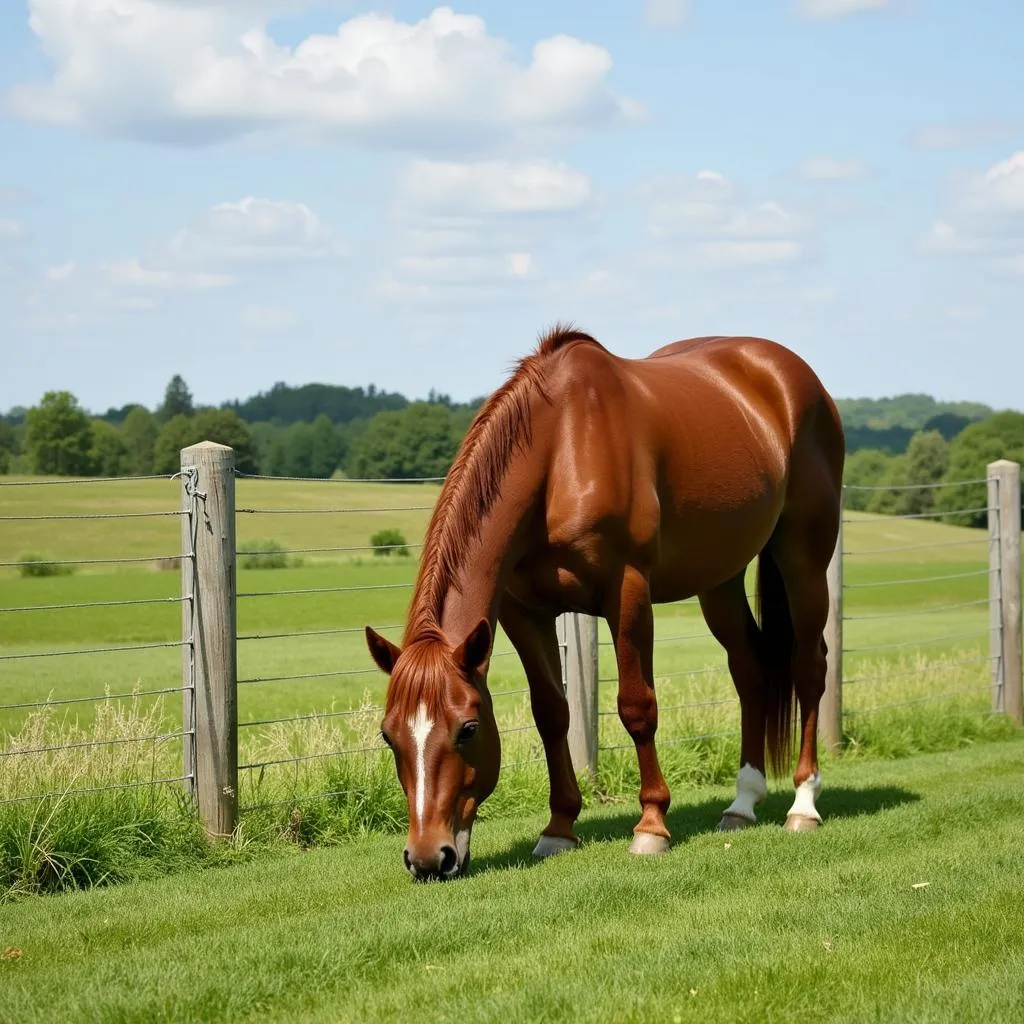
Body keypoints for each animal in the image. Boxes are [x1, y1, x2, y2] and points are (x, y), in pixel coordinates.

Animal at [364, 325, 843, 880]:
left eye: (468, 729)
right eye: (388, 736)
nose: (427, 858)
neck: (561, 448)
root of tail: (789, 373)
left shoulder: (627, 590)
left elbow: (637, 706)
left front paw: (651, 826)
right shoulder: (523, 612)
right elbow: (552, 713)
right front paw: (558, 829)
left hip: (803, 557)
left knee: (809, 667)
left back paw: (803, 804)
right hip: (719, 579)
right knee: (750, 671)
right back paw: (742, 805)